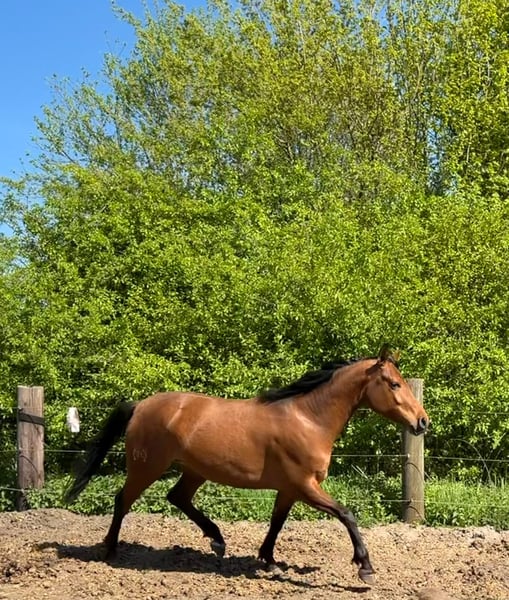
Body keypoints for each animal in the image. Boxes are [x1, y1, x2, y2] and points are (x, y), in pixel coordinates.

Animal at [65, 345, 429, 584]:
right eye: (394, 384)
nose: (422, 422)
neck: (309, 420)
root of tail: (140, 405)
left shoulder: (289, 489)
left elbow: (276, 523)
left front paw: (269, 561)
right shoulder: (305, 485)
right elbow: (346, 514)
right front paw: (365, 567)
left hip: (195, 470)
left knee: (177, 497)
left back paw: (217, 540)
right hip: (147, 467)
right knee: (123, 500)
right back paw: (109, 550)